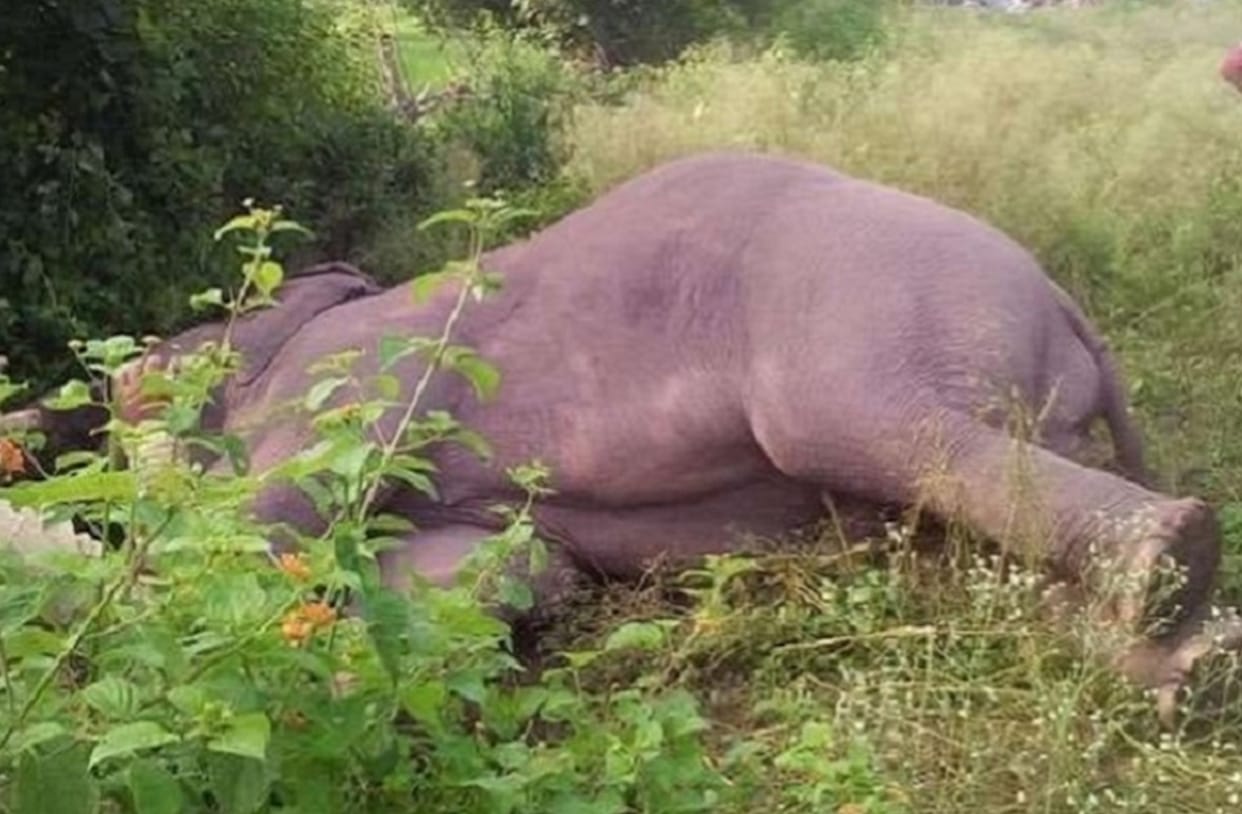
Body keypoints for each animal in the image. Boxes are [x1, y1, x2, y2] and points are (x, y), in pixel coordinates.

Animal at [2, 152, 1235, 711]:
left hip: (864, 315)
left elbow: (258, 528)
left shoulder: (356, 375)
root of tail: (1063, 304)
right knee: (947, 560)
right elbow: (483, 573)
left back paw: (1174, 570)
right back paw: (1190, 666)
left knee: (878, 433)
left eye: (141, 369)